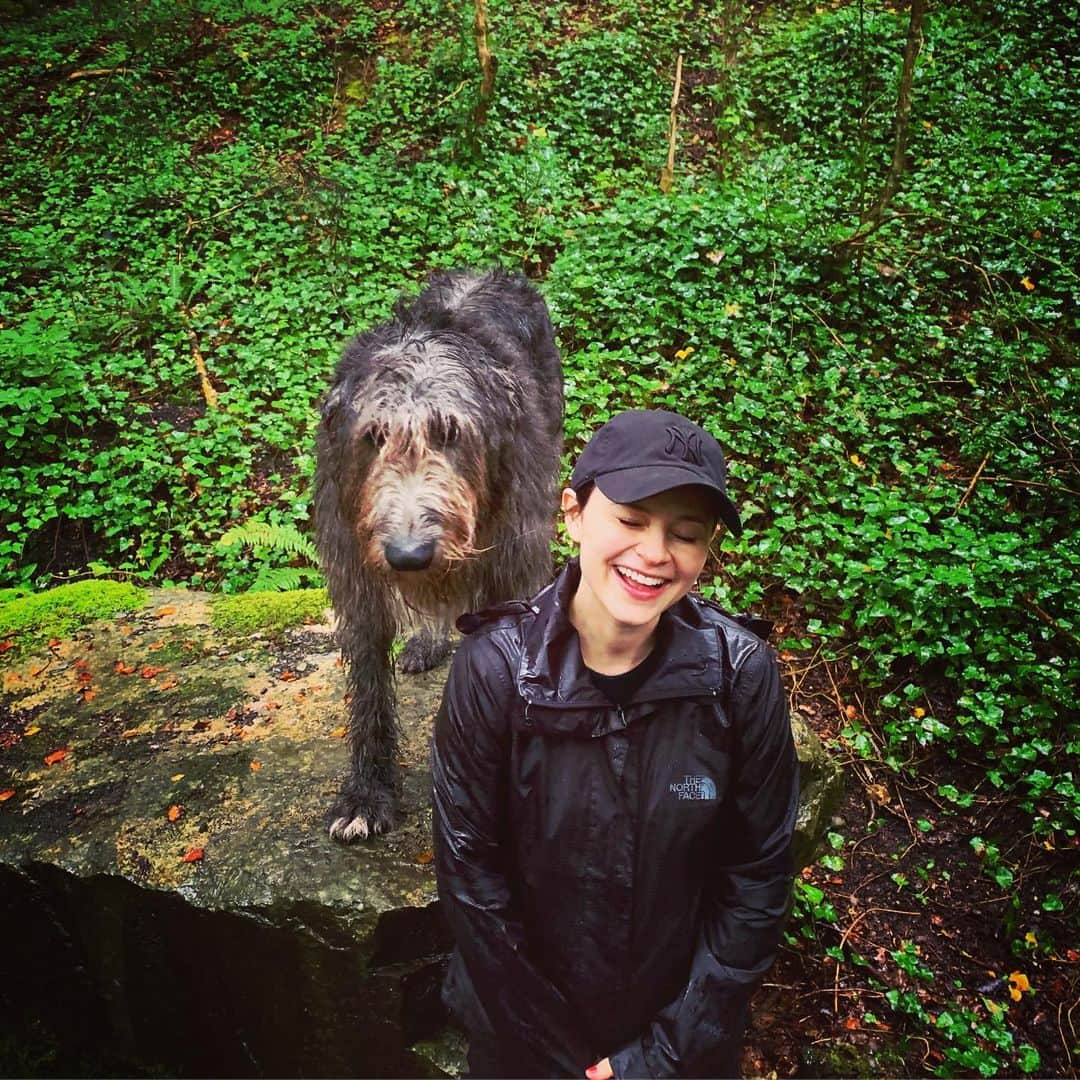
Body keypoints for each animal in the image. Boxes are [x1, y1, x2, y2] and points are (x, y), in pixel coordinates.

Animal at [315, 270, 561, 842]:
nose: (410, 554)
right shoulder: (355, 568)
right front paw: (367, 793)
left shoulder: (516, 553)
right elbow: (368, 682)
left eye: (451, 433)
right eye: (373, 436)